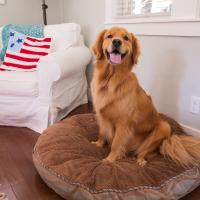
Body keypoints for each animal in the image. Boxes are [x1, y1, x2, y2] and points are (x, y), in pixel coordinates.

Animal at [91, 26, 200, 166]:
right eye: (109, 36)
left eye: (126, 38)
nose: (116, 42)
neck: (110, 79)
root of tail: (168, 141)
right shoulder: (101, 115)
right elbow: (102, 133)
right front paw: (98, 144)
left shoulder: (123, 123)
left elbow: (116, 143)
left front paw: (110, 159)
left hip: (164, 127)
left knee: (145, 152)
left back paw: (141, 161)